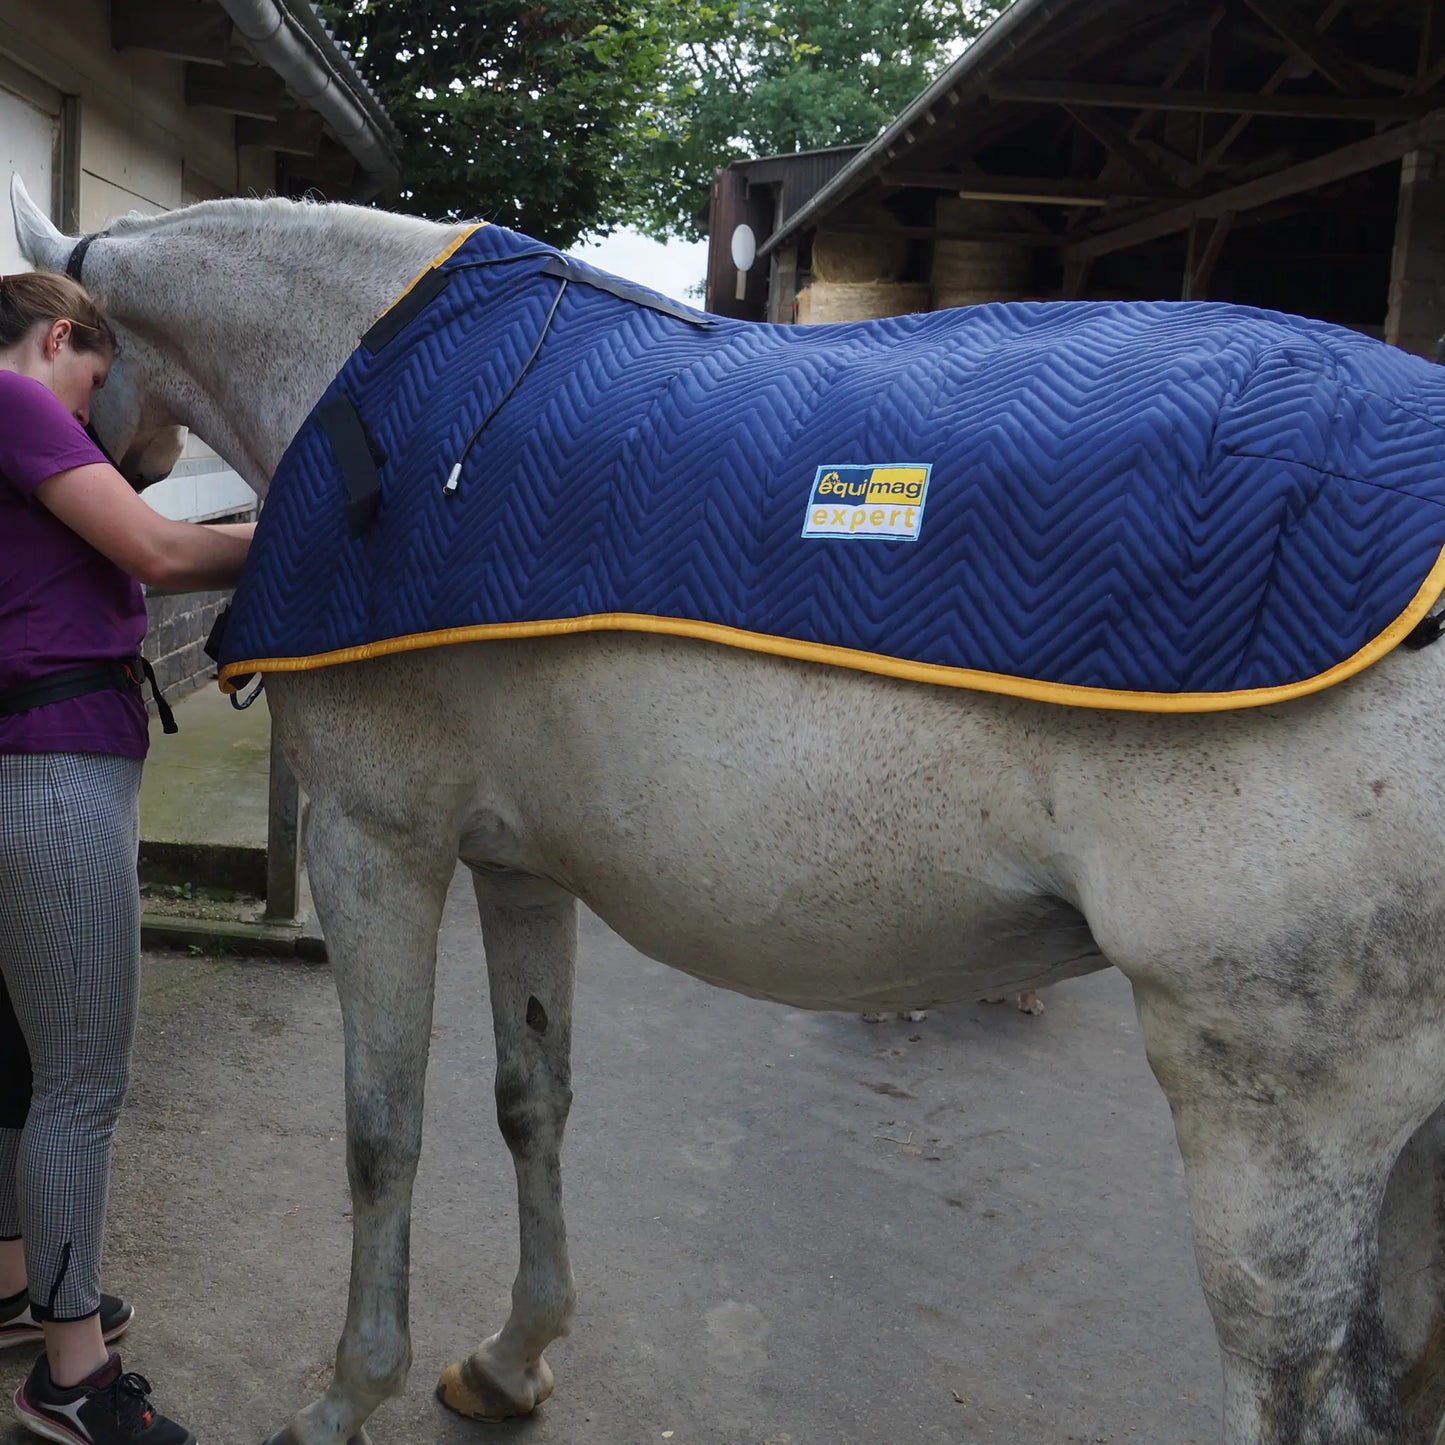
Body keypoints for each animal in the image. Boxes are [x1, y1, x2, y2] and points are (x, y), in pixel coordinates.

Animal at [14, 175, 1445, 1445]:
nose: (116, 476)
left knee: (1305, 1387)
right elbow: (531, 1096)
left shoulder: (376, 845)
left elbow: (381, 1134)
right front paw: (512, 1357)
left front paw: (344, 1397)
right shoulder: (517, 865)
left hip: (1278, 1105)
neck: (376, 388)